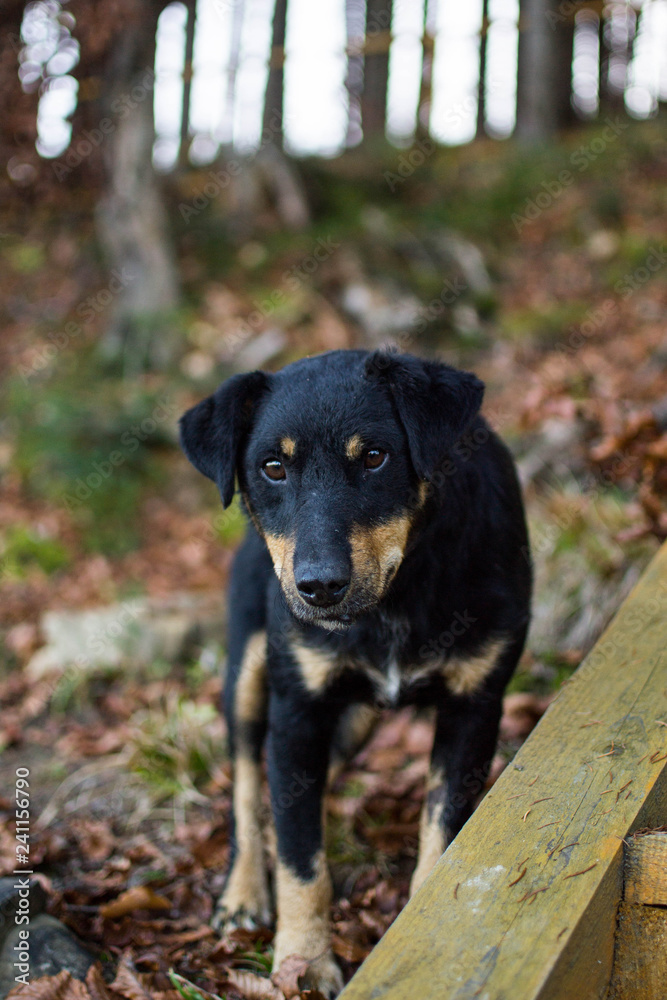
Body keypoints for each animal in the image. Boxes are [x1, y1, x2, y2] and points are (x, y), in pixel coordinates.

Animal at [179, 348, 532, 996]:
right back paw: (242, 894)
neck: (397, 598)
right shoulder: (297, 715)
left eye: (374, 456)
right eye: (272, 467)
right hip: (248, 677)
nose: (319, 586)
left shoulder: (474, 705)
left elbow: (440, 834)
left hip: (354, 721)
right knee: (246, 789)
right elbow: (301, 860)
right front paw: (304, 962)